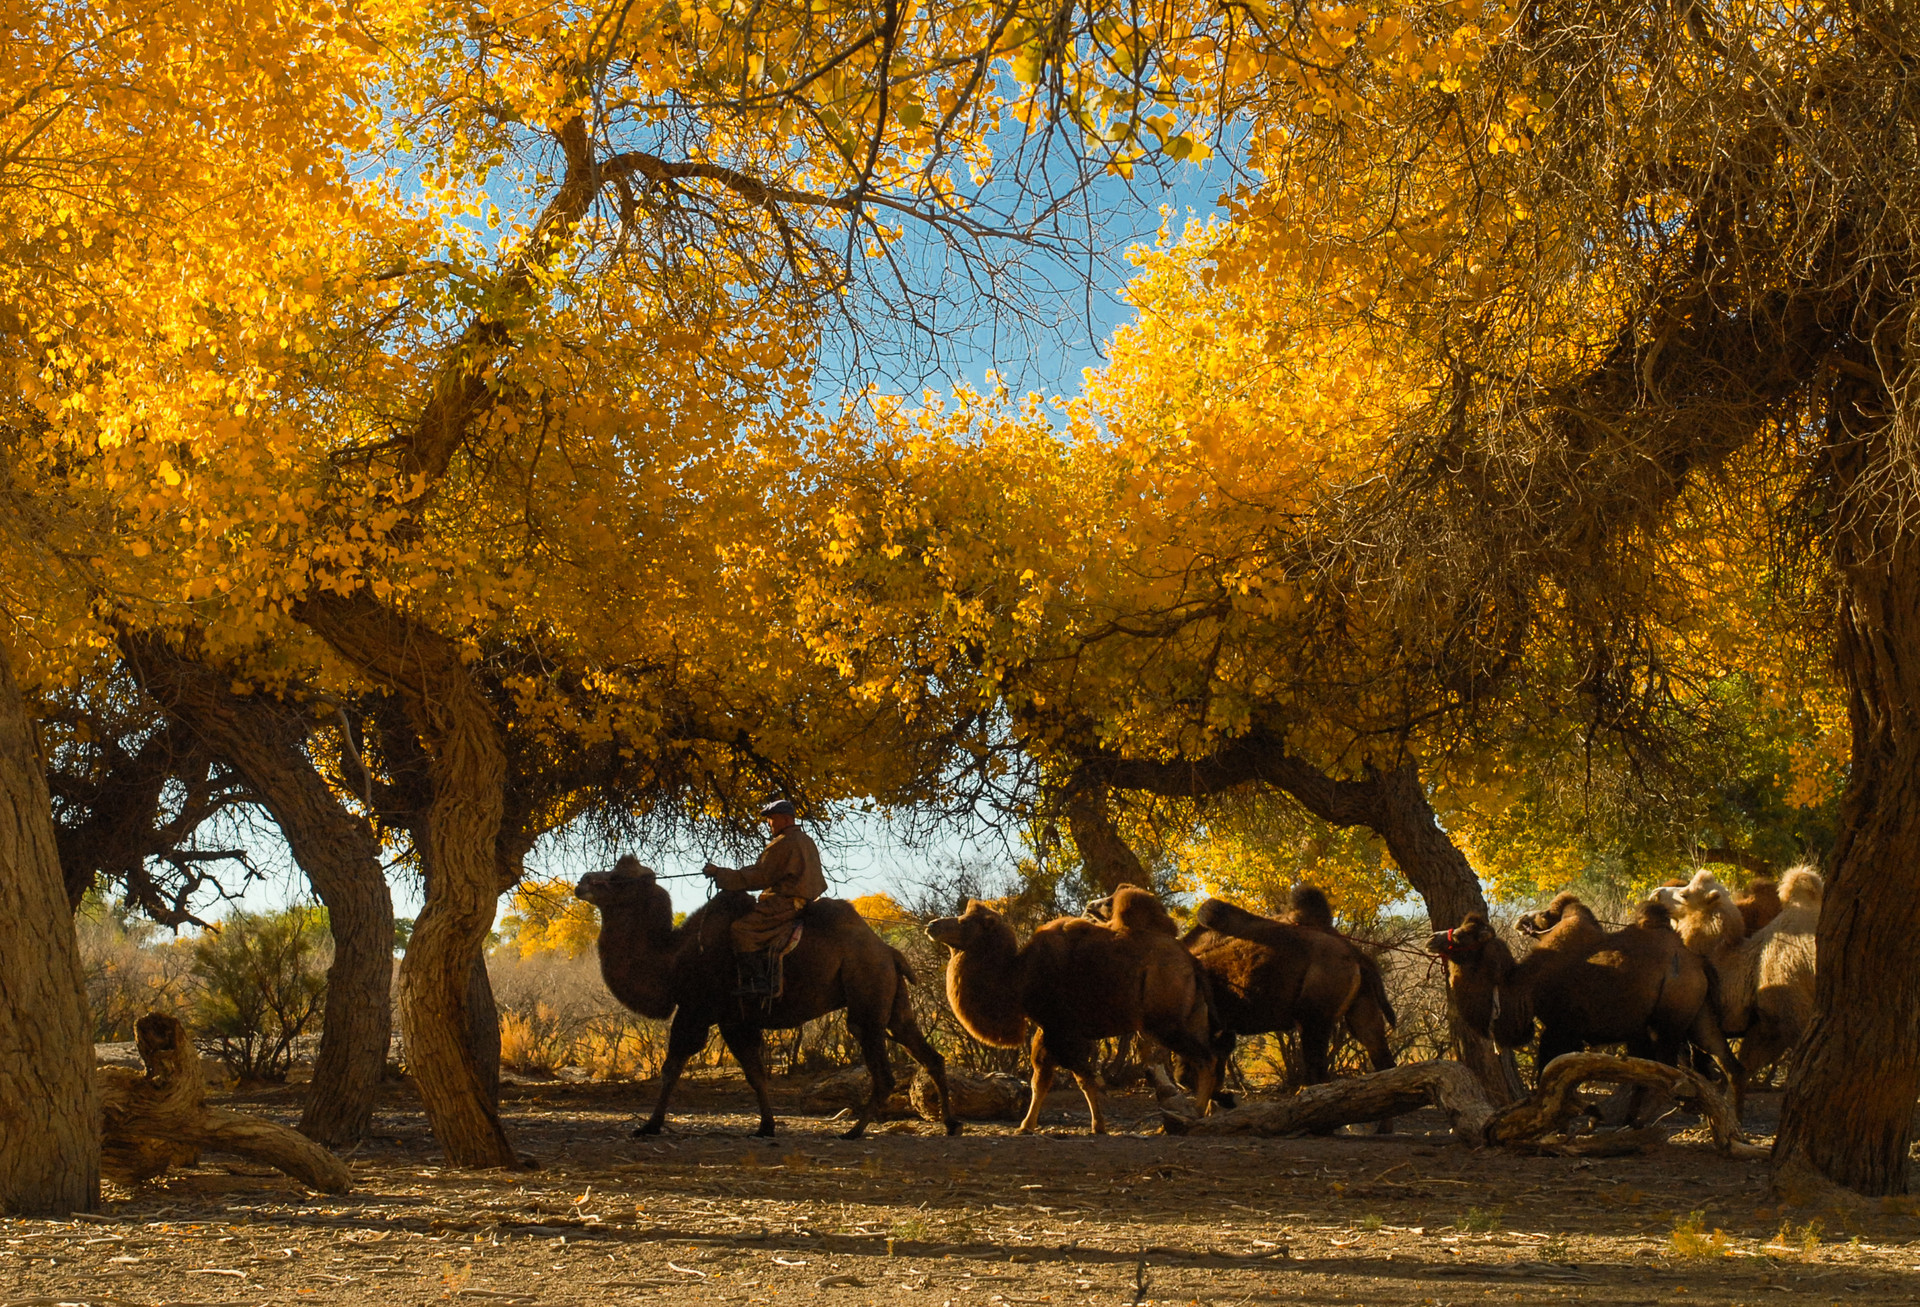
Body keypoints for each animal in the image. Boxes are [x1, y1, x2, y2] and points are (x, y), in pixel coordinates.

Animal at [572, 855, 956, 1128]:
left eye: (616, 878)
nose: (582, 881)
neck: (672, 956)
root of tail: (889, 952)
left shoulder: (698, 1010)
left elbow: (673, 1066)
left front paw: (649, 1126)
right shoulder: (736, 1019)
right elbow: (755, 1074)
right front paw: (766, 1126)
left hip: (866, 997)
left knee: (883, 1070)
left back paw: (854, 1131)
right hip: (892, 999)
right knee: (924, 1050)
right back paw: (951, 1124)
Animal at [917, 886, 1213, 1128]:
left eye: (965, 921)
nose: (932, 925)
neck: (1018, 977)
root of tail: (1189, 961)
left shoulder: (1062, 1031)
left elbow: (1081, 1078)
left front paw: (1098, 1126)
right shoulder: (1048, 1030)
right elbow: (1041, 1080)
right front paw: (1027, 1126)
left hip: (1166, 1022)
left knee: (1205, 1058)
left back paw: (1196, 1113)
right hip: (1188, 1016)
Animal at [1428, 902, 1743, 1105]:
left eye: (1462, 935)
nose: (1432, 939)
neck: (1522, 986)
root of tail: (1697, 961)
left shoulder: (1561, 1028)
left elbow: (1546, 1074)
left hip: (1668, 1019)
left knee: (1667, 1067)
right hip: (1697, 1015)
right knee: (1725, 1061)